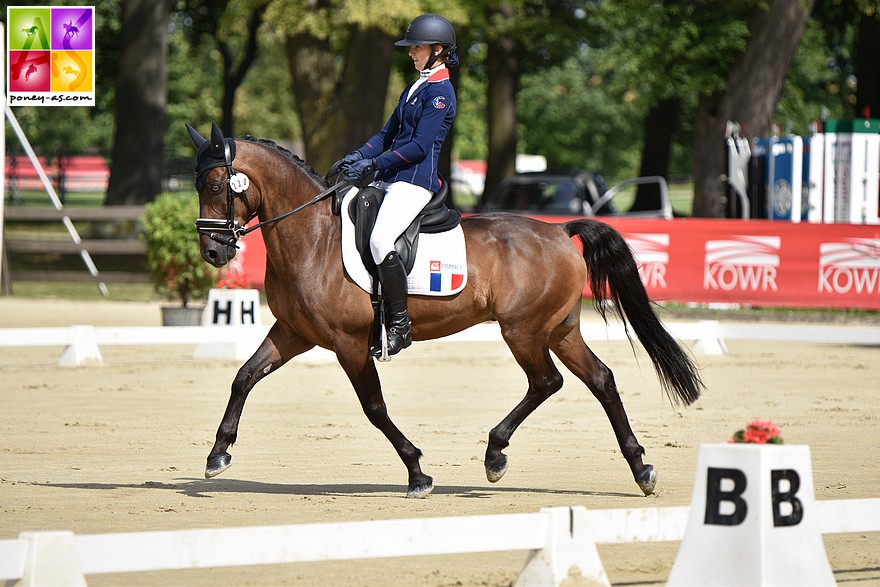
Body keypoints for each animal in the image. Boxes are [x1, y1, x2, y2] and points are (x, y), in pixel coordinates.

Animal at [186, 124, 700, 500]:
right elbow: (244, 377)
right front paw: (217, 456)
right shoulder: (294, 332)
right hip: (560, 330)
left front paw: (417, 473)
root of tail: (559, 231)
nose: (212, 252)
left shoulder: (348, 343)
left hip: (524, 330)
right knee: (601, 380)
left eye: (215, 183)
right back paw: (641, 469)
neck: (312, 235)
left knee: (547, 382)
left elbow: (374, 407)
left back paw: (495, 455)